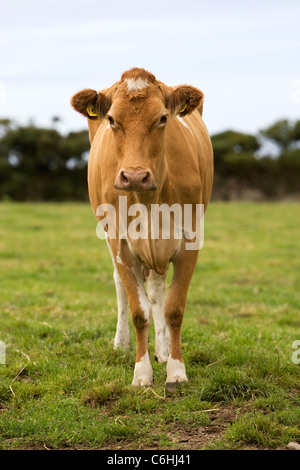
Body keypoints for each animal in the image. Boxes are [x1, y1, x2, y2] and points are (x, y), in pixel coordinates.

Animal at [71, 67, 213, 390]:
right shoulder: (121, 245)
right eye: (112, 119)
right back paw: (122, 344)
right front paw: (141, 373)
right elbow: (139, 311)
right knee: (123, 287)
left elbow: (173, 309)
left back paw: (162, 349)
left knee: (158, 290)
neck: (149, 202)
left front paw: (175, 370)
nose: (135, 176)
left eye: (162, 118)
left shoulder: (190, 241)